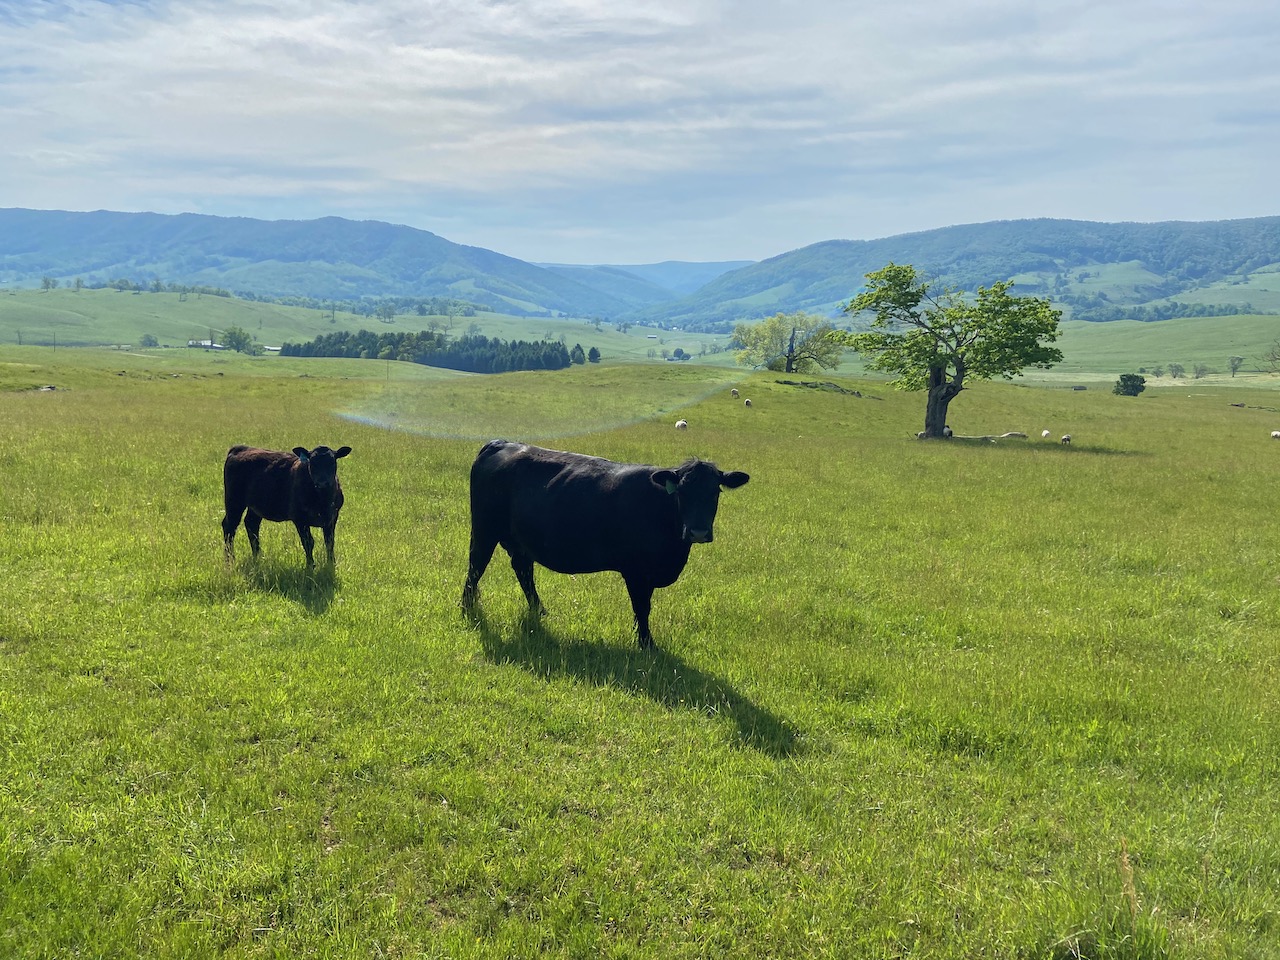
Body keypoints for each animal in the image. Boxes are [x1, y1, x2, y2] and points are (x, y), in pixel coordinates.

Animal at [220, 445, 350, 568]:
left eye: (332, 462)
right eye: (312, 463)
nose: (322, 483)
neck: (322, 500)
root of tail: (240, 448)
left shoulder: (332, 517)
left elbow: (329, 542)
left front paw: (331, 564)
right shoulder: (299, 519)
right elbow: (308, 542)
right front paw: (310, 565)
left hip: (255, 506)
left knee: (251, 524)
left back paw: (258, 557)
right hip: (234, 501)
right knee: (229, 527)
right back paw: (230, 559)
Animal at [463, 442, 747, 650]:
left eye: (715, 492)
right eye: (682, 492)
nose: (698, 531)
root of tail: (500, 443)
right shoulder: (636, 571)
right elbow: (642, 607)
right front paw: (647, 644)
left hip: (519, 540)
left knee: (523, 570)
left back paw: (539, 610)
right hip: (484, 530)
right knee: (476, 566)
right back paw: (466, 607)